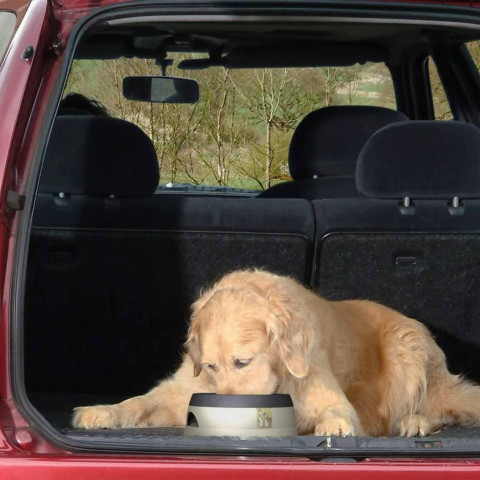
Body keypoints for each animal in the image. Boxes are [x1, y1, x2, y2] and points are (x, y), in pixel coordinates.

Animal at [72, 268, 480, 436]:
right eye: (210, 366)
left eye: (243, 362)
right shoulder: (182, 389)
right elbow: (138, 403)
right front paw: (100, 411)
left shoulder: (326, 394)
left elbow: (336, 413)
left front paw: (332, 425)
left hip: (405, 351)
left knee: (442, 409)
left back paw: (415, 423)